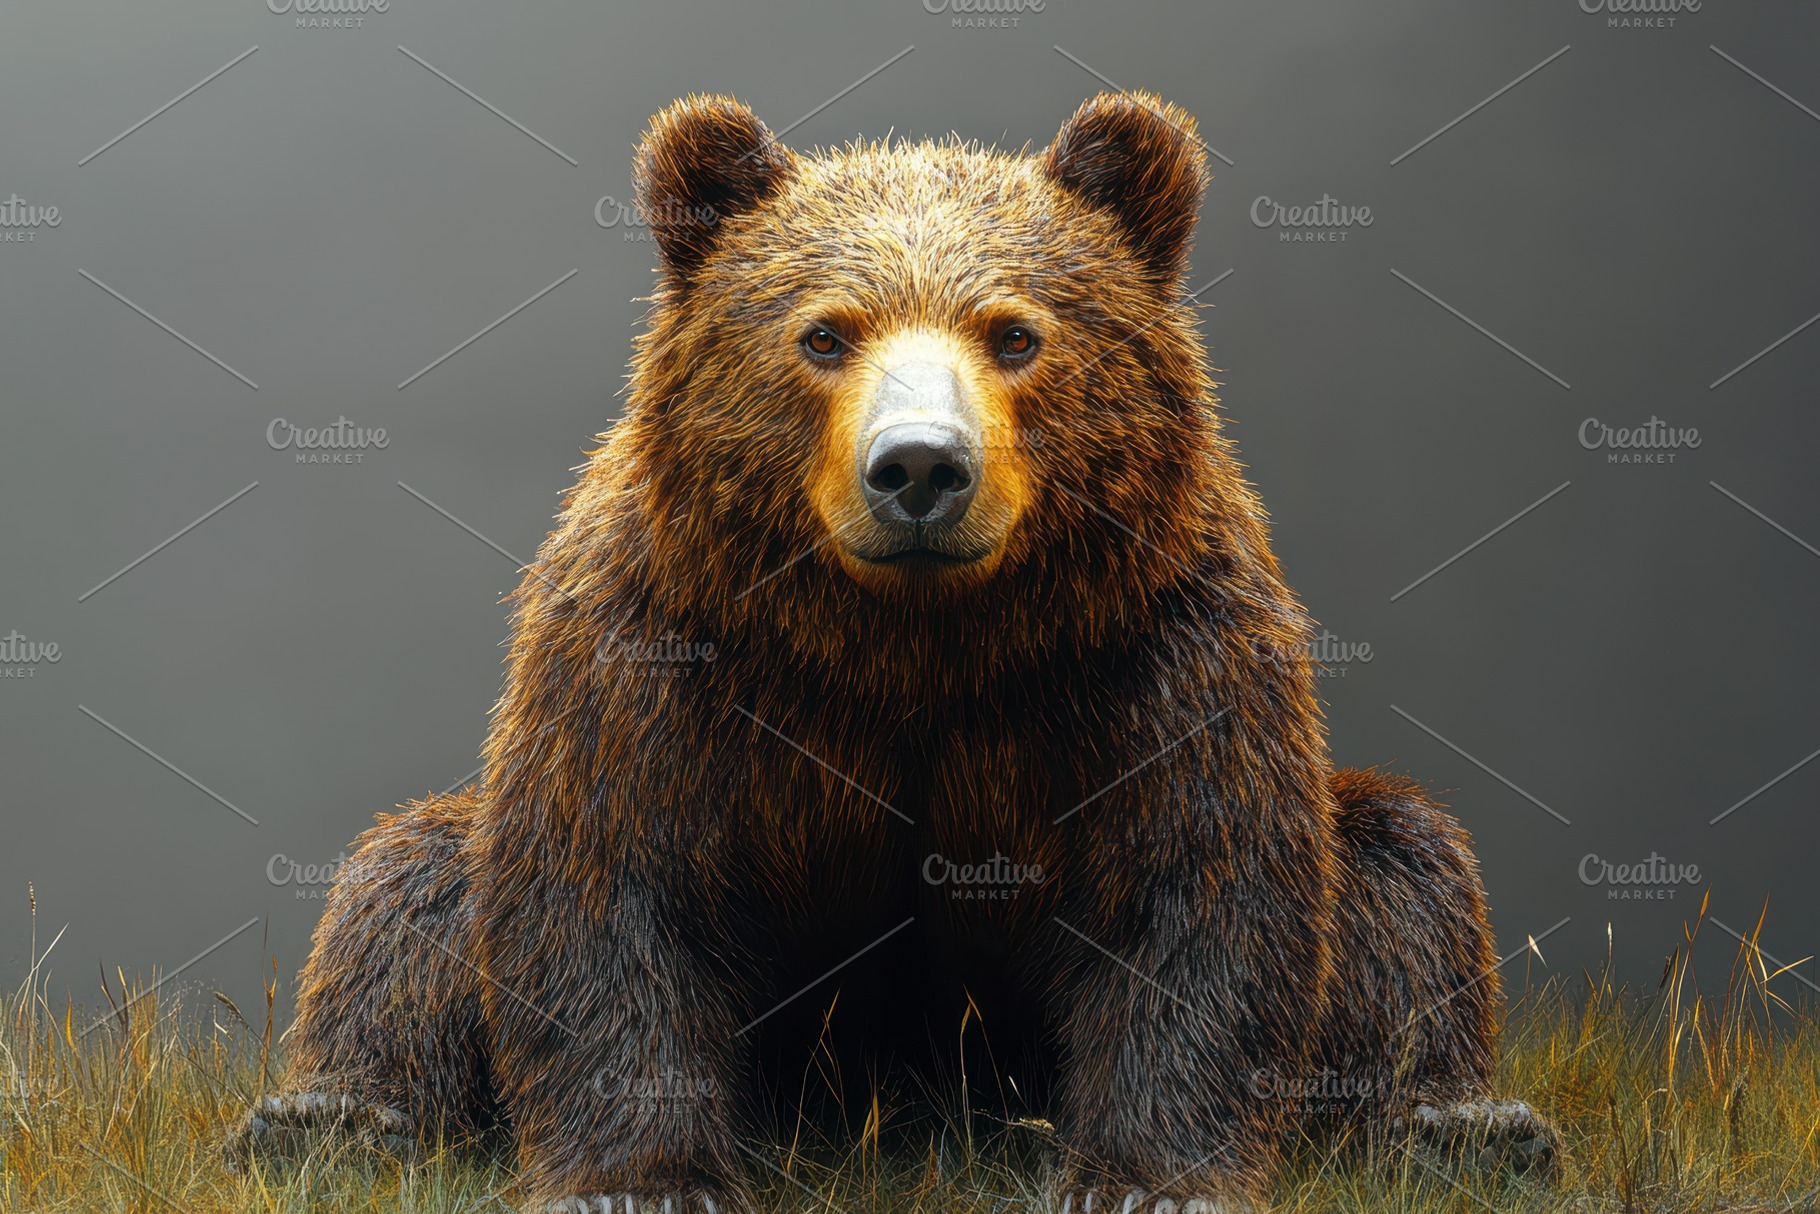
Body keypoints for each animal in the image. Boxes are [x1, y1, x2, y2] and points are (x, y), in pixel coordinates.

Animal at [229, 92, 1561, 1212]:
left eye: (1015, 333)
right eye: (823, 333)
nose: (919, 464)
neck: (909, 643)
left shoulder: (1154, 646)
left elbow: (1196, 887)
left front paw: (1144, 1178)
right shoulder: (656, 645)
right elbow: (608, 882)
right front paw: (643, 1180)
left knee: (1404, 871)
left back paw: (1468, 1128)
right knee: (402, 886)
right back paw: (324, 1120)